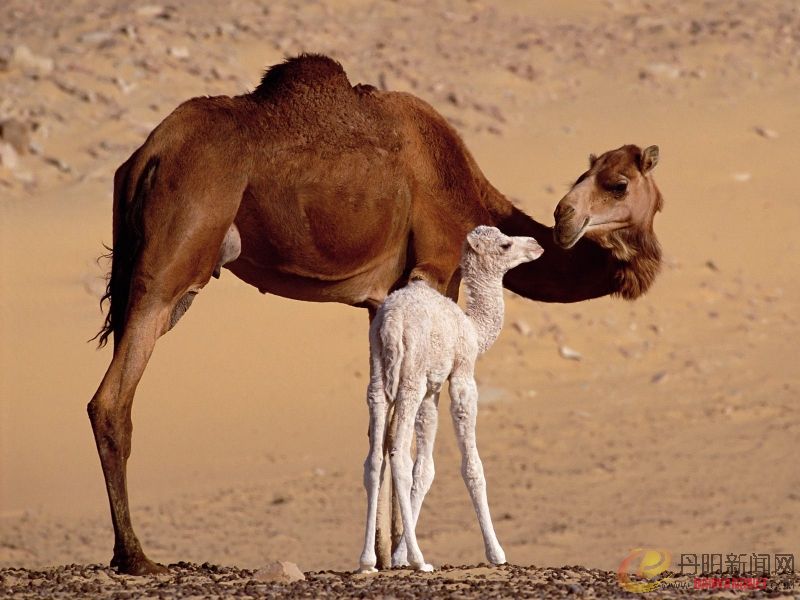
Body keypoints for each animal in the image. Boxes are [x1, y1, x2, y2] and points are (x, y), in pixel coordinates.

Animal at [358, 225, 540, 572]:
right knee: (398, 454)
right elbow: (472, 466)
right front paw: (496, 553)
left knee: (374, 458)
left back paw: (367, 560)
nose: (536, 245)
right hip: (410, 377)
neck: (473, 328)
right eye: (505, 244)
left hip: (378, 373)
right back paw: (420, 560)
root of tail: (392, 323)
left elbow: (425, 468)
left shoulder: (433, 389)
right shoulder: (461, 374)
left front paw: (398, 556)